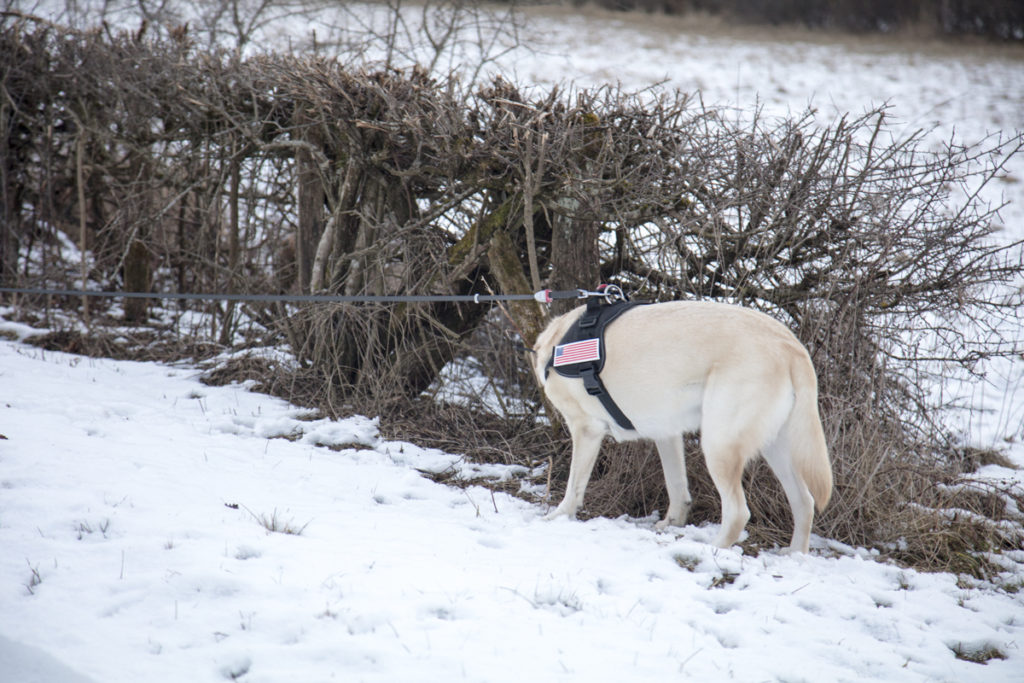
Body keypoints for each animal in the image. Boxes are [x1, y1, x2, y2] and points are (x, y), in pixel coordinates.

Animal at [536, 301, 831, 552]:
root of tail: (789, 344)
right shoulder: (667, 434)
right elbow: (676, 484)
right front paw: (672, 522)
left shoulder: (586, 428)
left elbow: (574, 485)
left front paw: (559, 516)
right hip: (776, 447)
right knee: (804, 502)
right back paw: (795, 555)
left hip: (718, 444)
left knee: (738, 512)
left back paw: (714, 548)